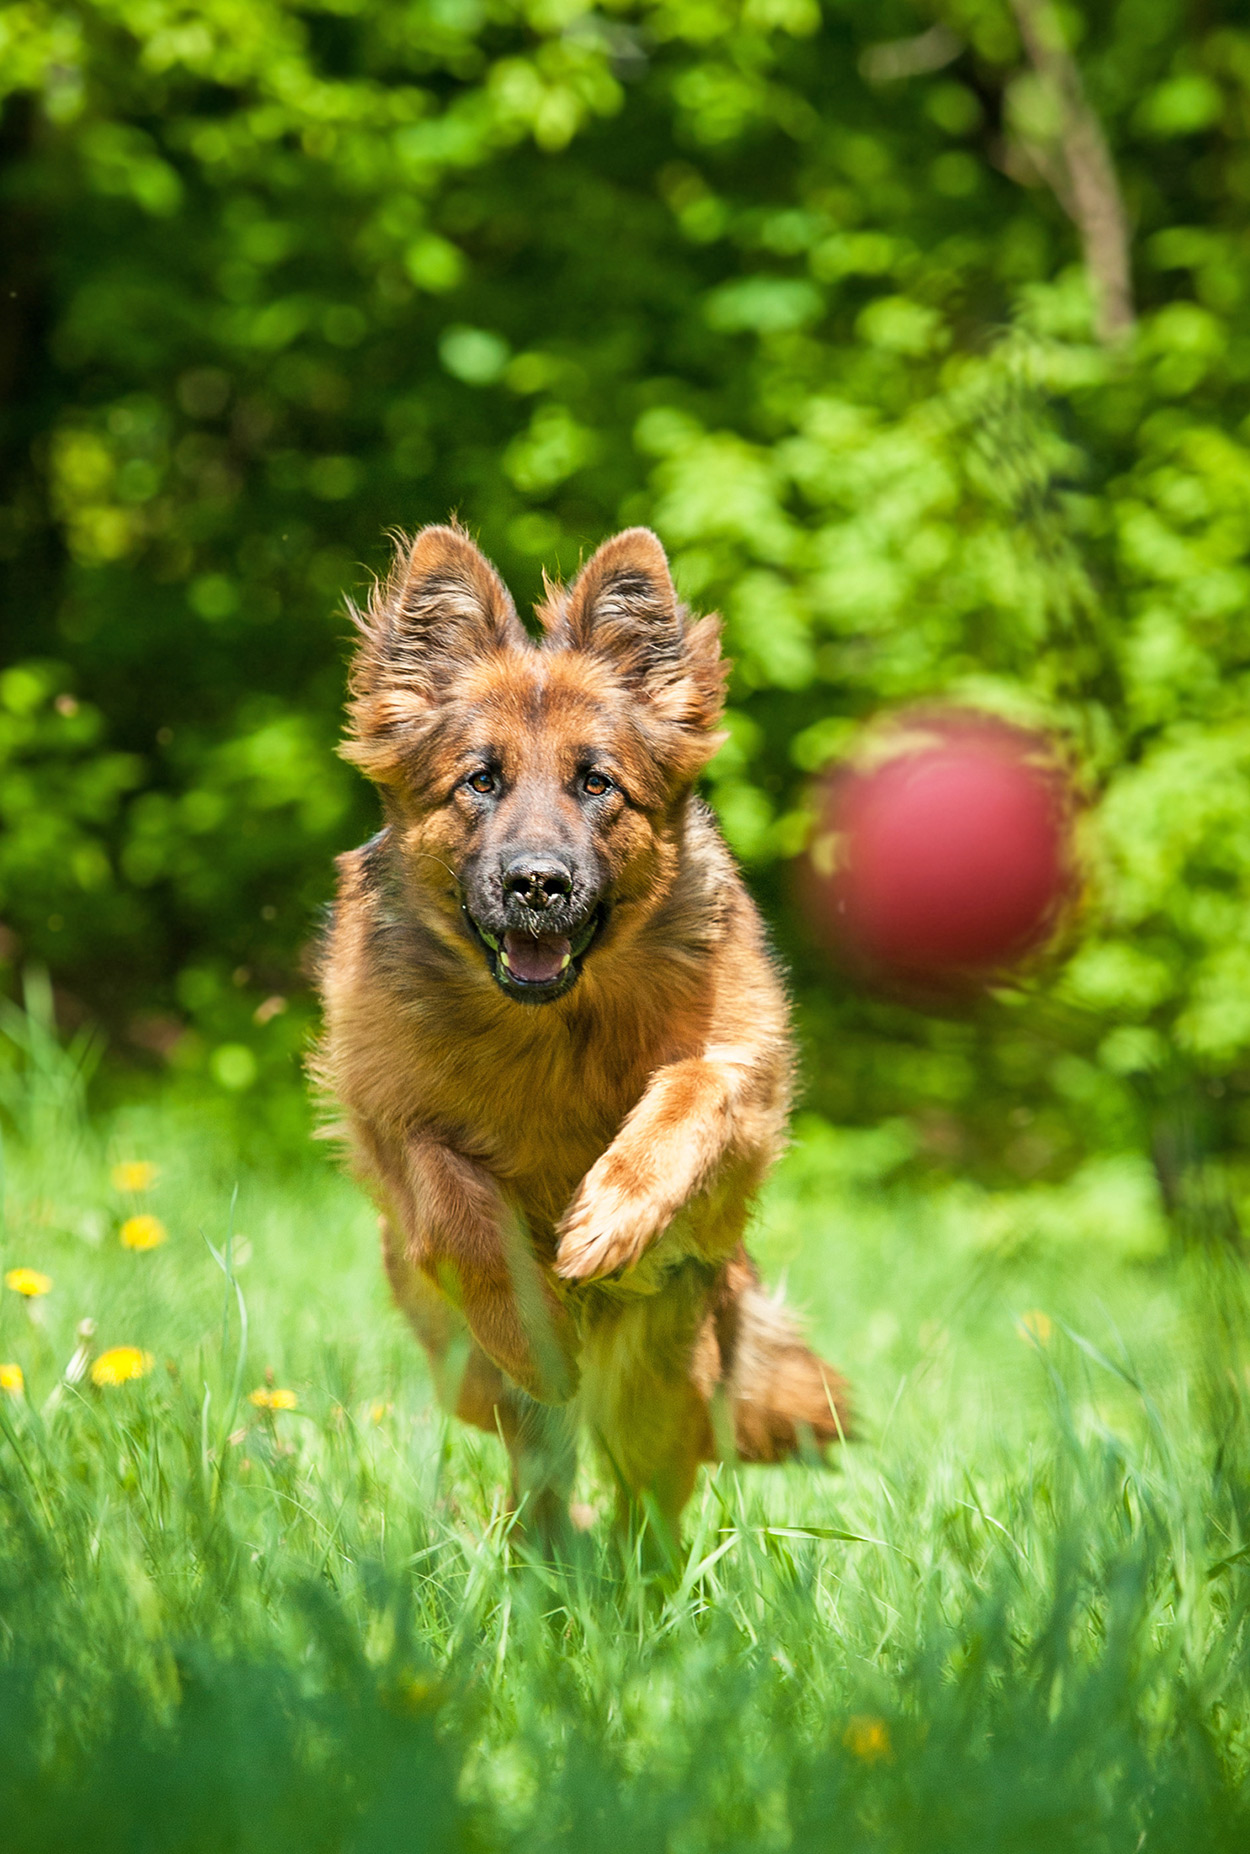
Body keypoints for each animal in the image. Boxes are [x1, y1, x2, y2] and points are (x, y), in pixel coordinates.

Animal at [313, 526, 845, 1549]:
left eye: (596, 783)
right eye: (480, 781)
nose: (537, 883)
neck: (553, 1028)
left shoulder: (745, 1094)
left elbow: (693, 1091)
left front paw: (611, 1216)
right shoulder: (386, 1121)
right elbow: (451, 1197)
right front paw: (536, 1326)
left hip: (660, 1387)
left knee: (650, 1506)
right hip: (468, 1377)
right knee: (541, 1460)